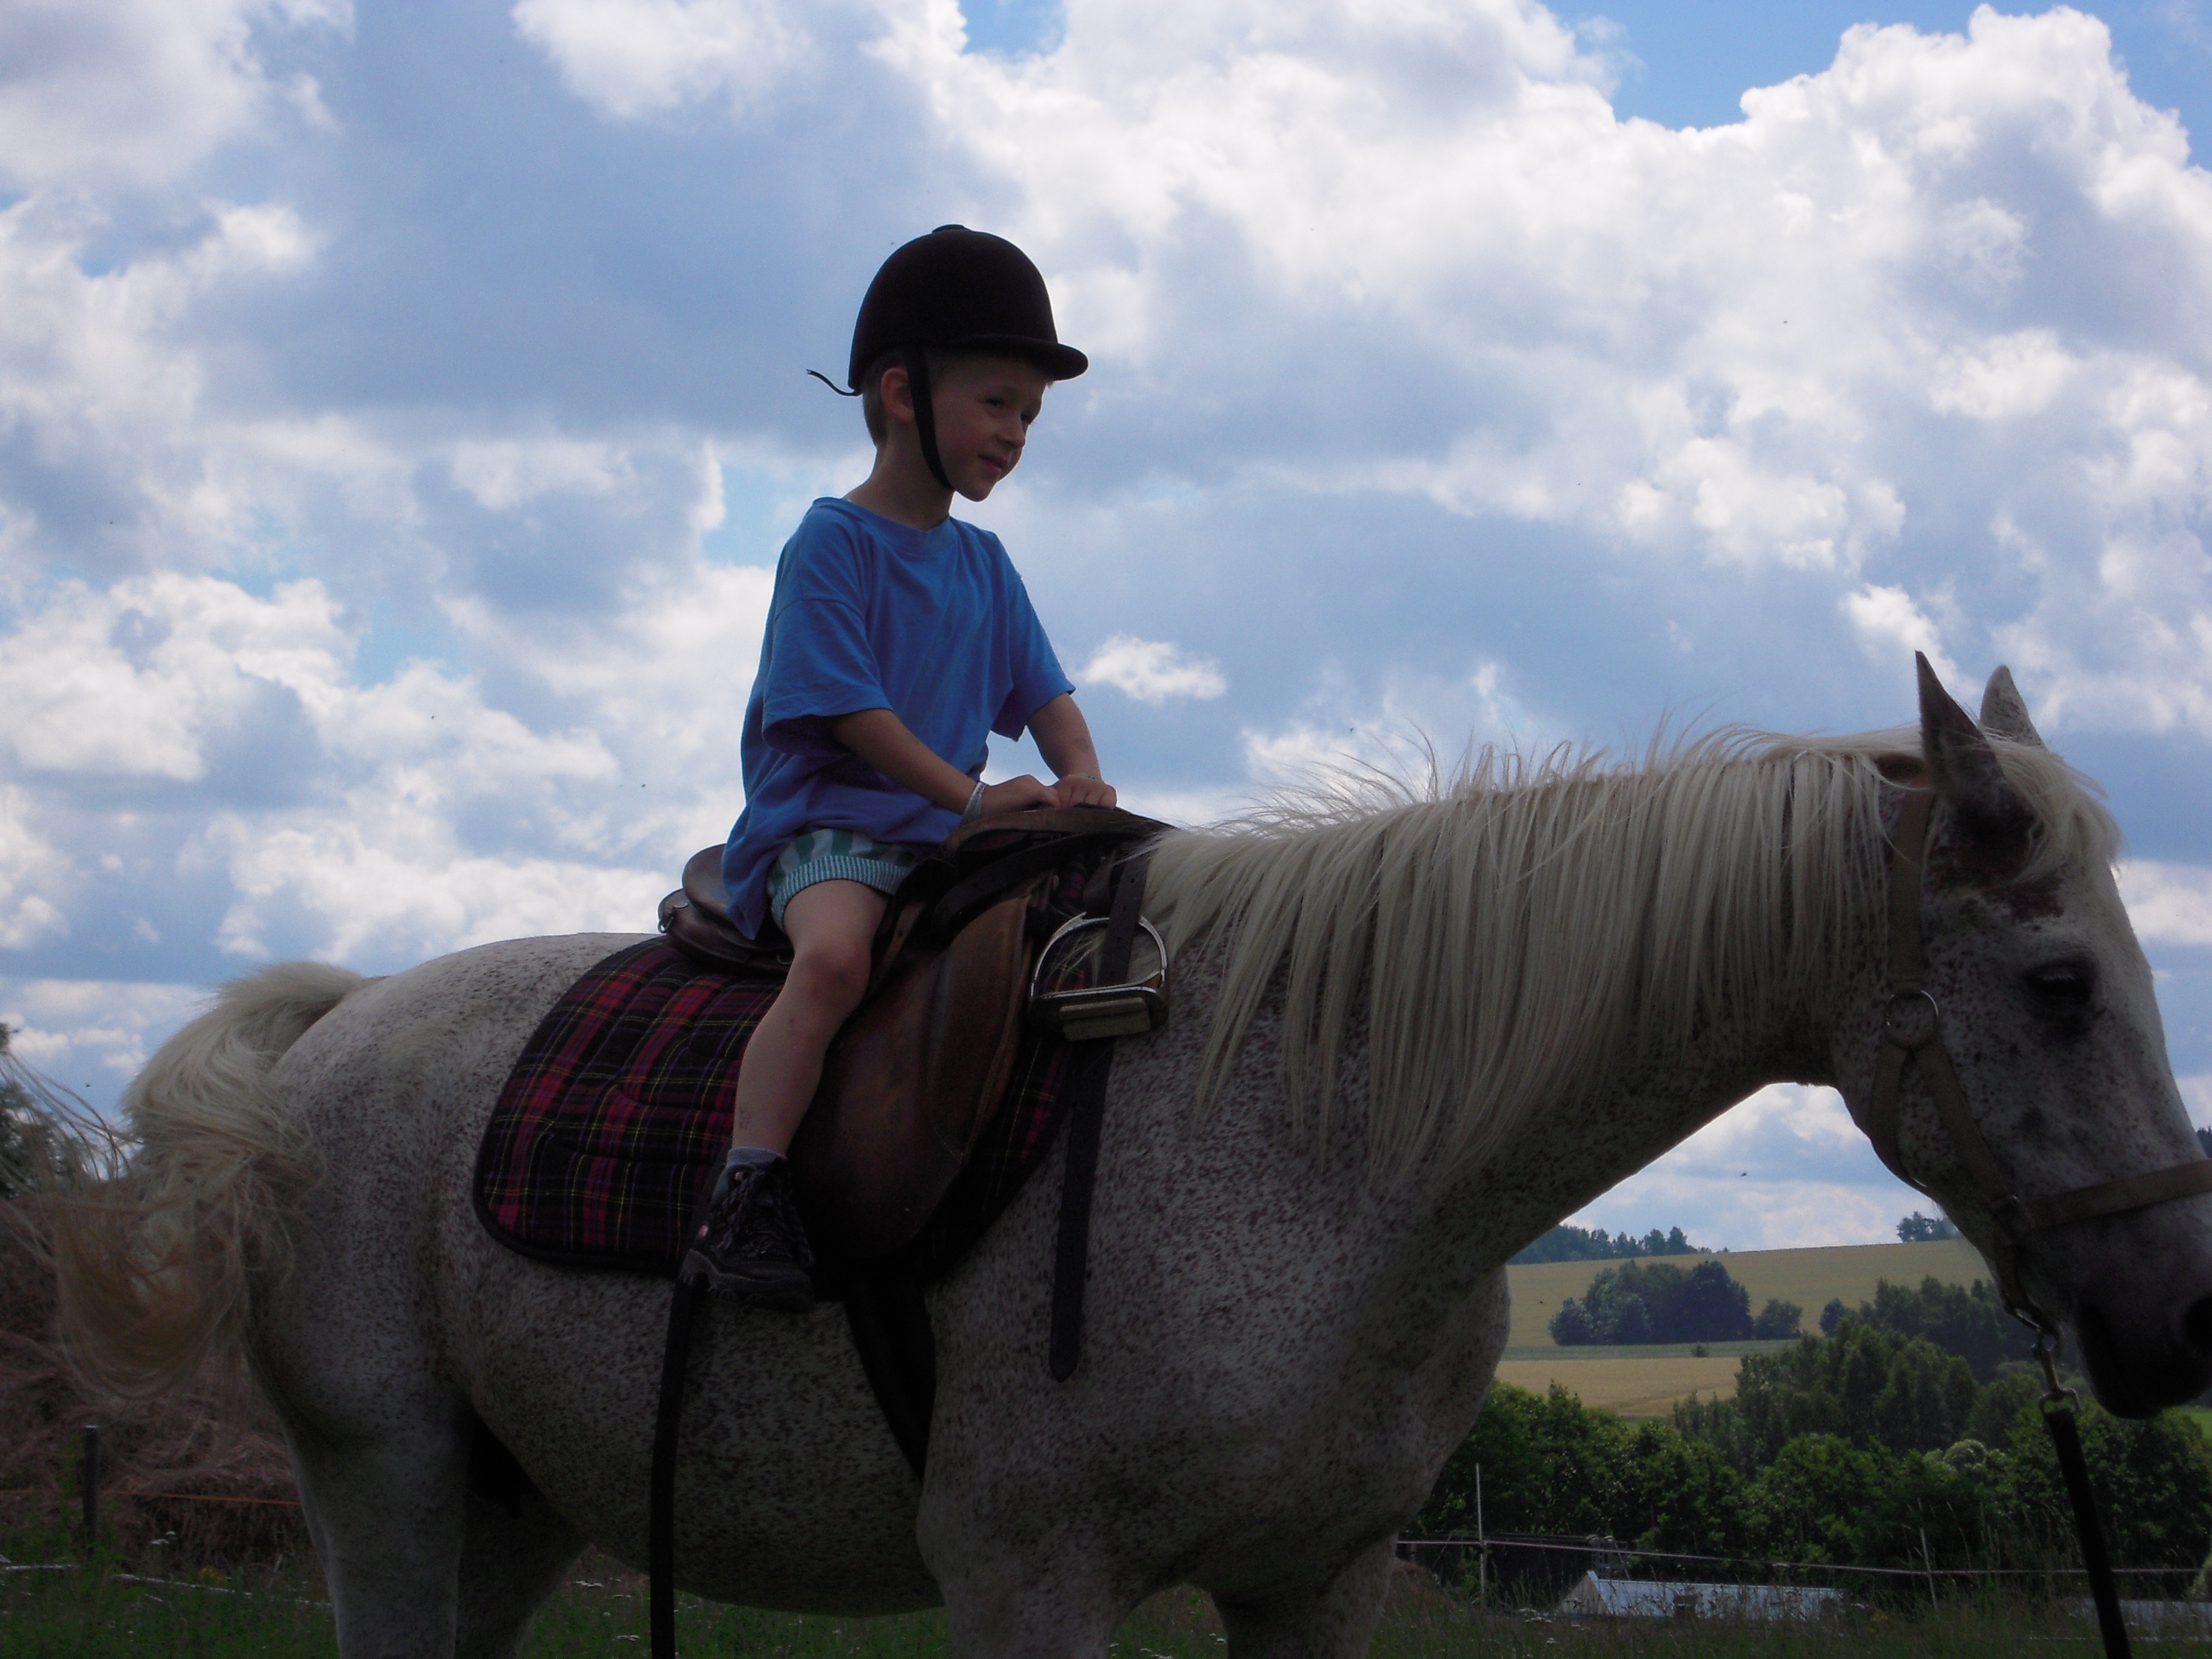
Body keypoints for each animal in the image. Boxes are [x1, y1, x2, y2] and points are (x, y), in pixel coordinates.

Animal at [49, 659, 2212, 1659]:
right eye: (2055, 984)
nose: (2171, 1326)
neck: (1341, 1147)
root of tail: (342, 1024)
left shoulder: (1317, 1578)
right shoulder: (1028, 1578)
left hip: (506, 1513)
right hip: (391, 1485)